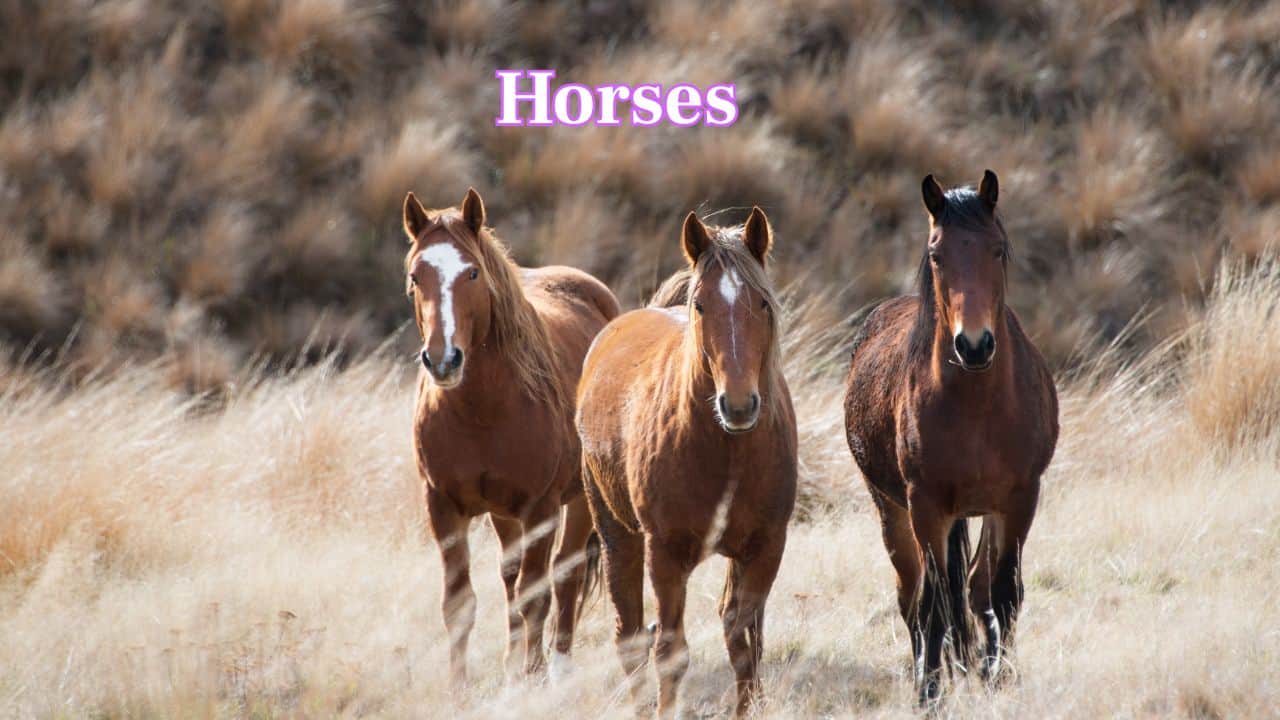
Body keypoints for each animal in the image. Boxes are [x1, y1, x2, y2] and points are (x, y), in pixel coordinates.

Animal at [403, 187, 620, 687]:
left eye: (472, 272)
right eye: (415, 275)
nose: (442, 360)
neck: (482, 411)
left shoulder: (540, 507)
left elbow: (536, 593)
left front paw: (533, 677)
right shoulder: (442, 505)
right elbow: (459, 601)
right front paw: (459, 687)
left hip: (578, 501)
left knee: (564, 574)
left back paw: (558, 668)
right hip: (503, 514)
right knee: (510, 575)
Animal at [576, 207, 797, 718]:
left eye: (761, 303)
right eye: (700, 306)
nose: (738, 405)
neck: (727, 450)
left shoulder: (767, 547)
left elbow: (744, 640)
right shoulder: (665, 552)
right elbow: (670, 652)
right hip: (618, 535)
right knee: (631, 636)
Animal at [843, 171, 1058, 705]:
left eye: (997, 250)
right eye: (937, 253)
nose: (974, 344)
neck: (976, 407)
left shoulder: (1020, 499)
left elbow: (1003, 593)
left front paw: (1000, 679)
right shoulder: (926, 506)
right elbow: (935, 603)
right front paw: (929, 694)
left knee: (976, 588)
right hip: (892, 510)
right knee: (914, 597)